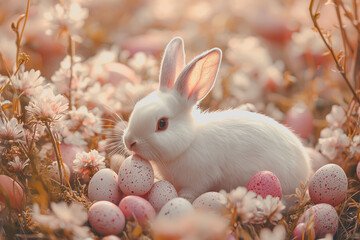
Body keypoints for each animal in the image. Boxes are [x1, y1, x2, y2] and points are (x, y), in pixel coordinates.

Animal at [124, 37, 312, 202]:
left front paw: (184, 199)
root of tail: (306, 173)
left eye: (162, 124)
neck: (189, 142)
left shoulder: (201, 178)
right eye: (137, 106)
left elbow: (193, 190)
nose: (129, 142)